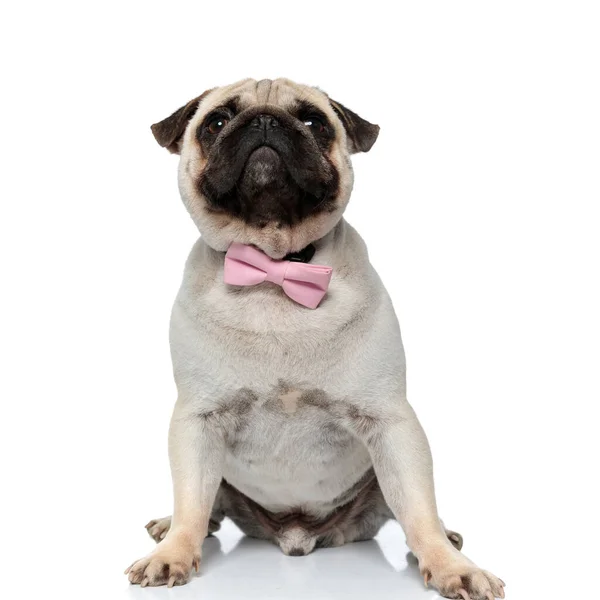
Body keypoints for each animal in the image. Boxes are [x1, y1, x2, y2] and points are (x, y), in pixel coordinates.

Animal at [126, 79, 506, 600]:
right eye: (216, 122)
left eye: (313, 122)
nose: (265, 120)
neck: (275, 268)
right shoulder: (197, 422)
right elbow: (191, 502)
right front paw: (173, 553)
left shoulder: (392, 422)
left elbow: (418, 507)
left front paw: (451, 566)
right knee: (208, 506)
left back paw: (446, 539)